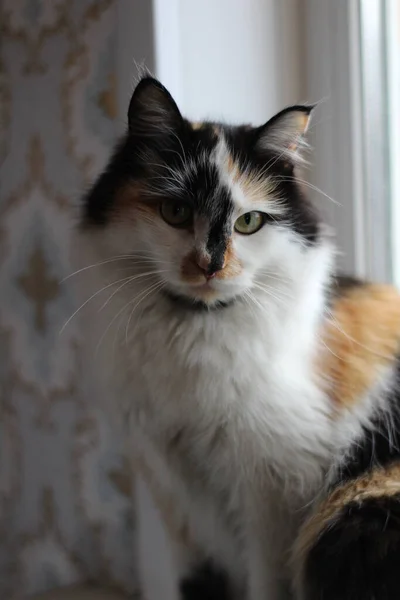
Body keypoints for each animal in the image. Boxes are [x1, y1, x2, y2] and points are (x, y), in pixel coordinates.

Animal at [73, 76, 400, 600]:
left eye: (249, 222)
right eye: (175, 211)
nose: (210, 265)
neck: (192, 332)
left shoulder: (271, 494)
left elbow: (265, 583)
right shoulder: (172, 488)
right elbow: (198, 582)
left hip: (342, 521)